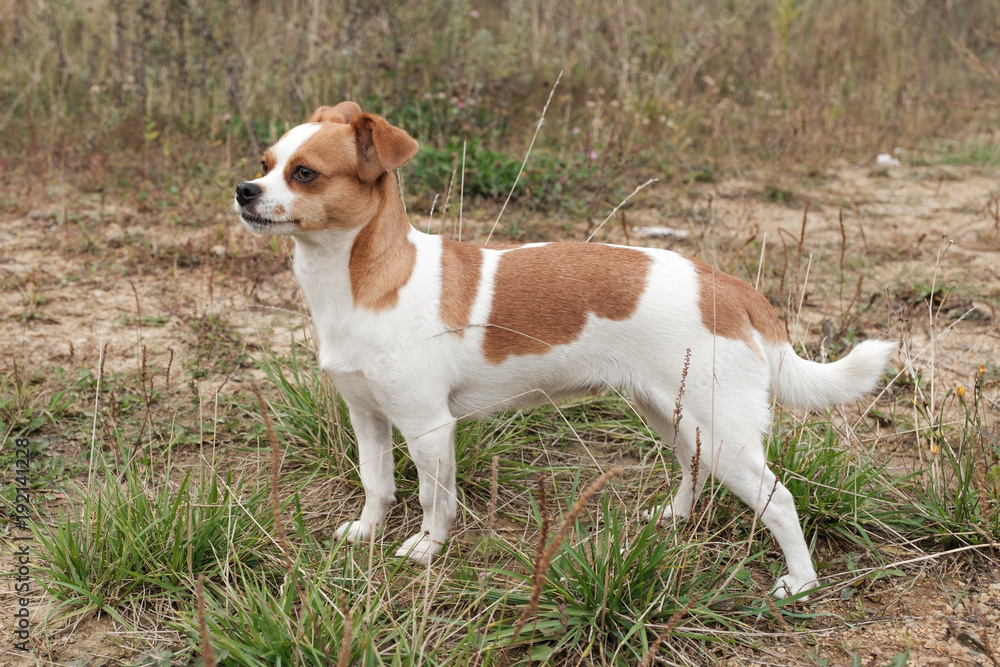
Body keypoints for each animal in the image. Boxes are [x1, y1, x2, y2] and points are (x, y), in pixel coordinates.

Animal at [236, 102, 900, 596]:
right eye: (265, 164)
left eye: (304, 174)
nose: (243, 190)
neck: (359, 282)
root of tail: (729, 287)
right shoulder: (368, 416)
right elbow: (376, 483)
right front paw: (368, 533)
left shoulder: (427, 427)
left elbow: (432, 498)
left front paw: (427, 547)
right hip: (674, 415)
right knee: (692, 465)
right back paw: (674, 517)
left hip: (726, 432)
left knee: (778, 500)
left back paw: (801, 582)